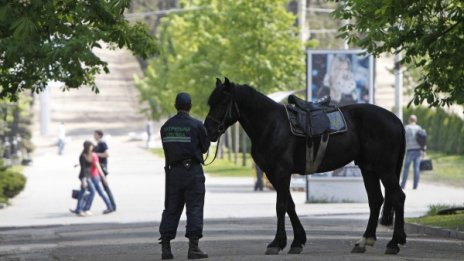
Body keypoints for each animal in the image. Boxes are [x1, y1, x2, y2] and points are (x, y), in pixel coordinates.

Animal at [204, 77, 406, 254]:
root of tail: (395, 119)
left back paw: (394, 243)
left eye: (222, 102)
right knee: (376, 200)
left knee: (398, 197)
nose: (208, 131)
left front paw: (277, 243)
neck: (270, 124)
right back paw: (365, 241)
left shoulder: (281, 171)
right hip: (369, 168)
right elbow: (290, 205)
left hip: (385, 168)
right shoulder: (272, 174)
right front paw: (297, 241)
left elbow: (281, 206)